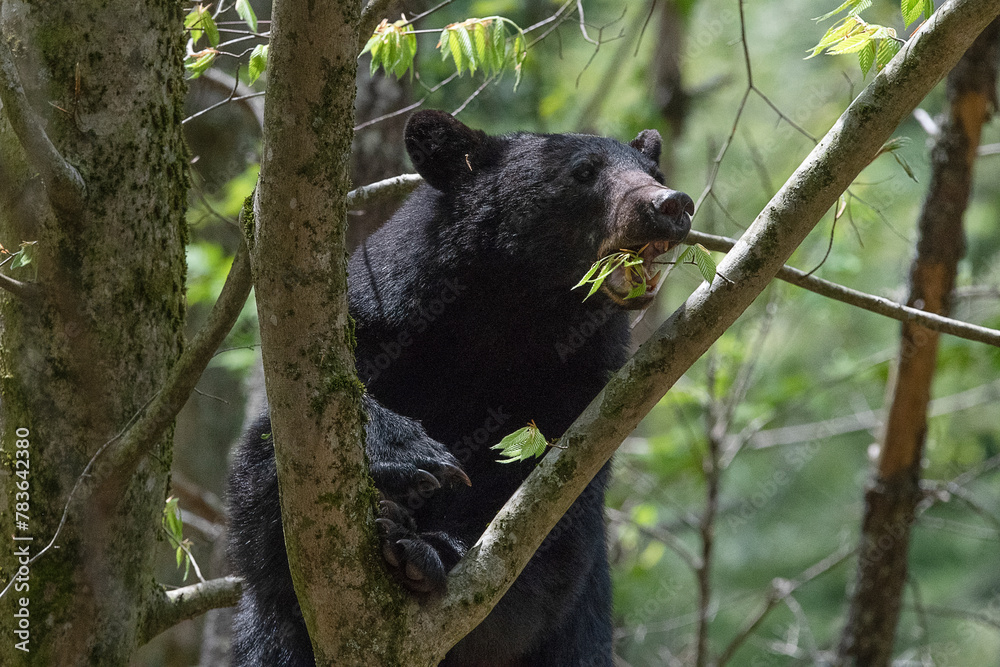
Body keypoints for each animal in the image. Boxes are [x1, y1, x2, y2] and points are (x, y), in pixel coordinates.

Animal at [227, 110, 693, 666]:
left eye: (655, 173)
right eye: (584, 171)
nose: (670, 204)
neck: (503, 322)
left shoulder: (580, 405)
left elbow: (542, 544)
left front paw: (423, 553)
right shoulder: (378, 324)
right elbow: (265, 483)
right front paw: (408, 454)